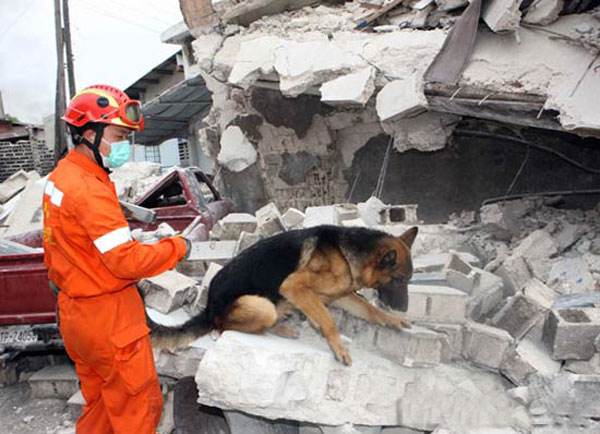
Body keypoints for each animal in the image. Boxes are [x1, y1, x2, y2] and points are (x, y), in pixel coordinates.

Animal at [151, 225, 418, 364]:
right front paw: (338, 348)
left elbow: (370, 310)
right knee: (226, 327)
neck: (348, 252)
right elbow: (329, 321)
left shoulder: (342, 295)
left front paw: (394, 320)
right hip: (263, 307)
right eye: (399, 280)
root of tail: (209, 308)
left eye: (408, 280)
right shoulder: (294, 285)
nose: (403, 308)